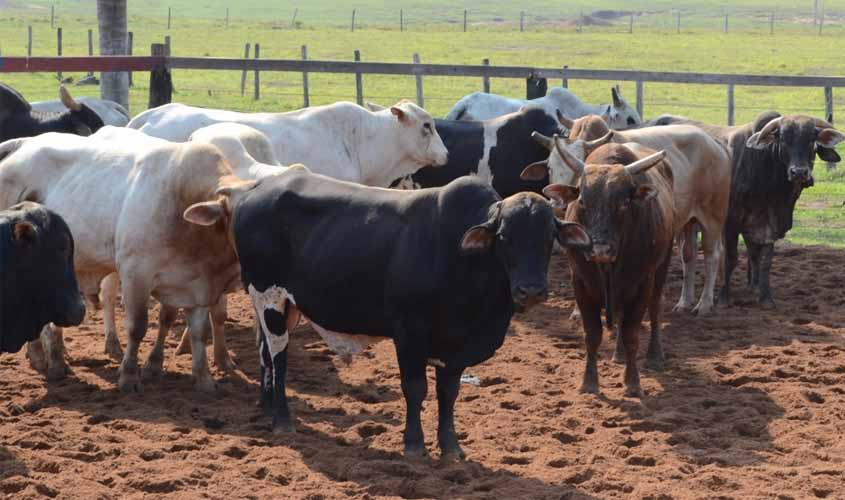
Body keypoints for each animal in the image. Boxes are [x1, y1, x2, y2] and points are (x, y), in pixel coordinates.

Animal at [0, 127, 244, 392]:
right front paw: (129, 376)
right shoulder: (135, 273)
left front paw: (203, 379)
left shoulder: (196, 285)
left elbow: (199, 331)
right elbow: (137, 327)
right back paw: (51, 361)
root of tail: (23, 142)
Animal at [185, 167, 592, 458]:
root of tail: (254, 191)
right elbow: (415, 389)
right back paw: (282, 419)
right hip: (268, 295)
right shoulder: (409, 332)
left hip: (283, 305)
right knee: (280, 358)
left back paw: (266, 405)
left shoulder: (456, 345)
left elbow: (449, 393)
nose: (531, 290)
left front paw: (451, 447)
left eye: (549, 238)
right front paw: (414, 444)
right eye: (504, 237)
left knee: (265, 354)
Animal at [544, 143, 676, 396]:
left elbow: (632, 334)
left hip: (662, 265)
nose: (600, 249)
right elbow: (593, 335)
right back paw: (619, 354)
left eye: (624, 202)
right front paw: (589, 382)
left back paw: (654, 356)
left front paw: (633, 383)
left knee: (655, 309)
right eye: (582, 201)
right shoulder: (581, 283)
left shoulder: (642, 283)